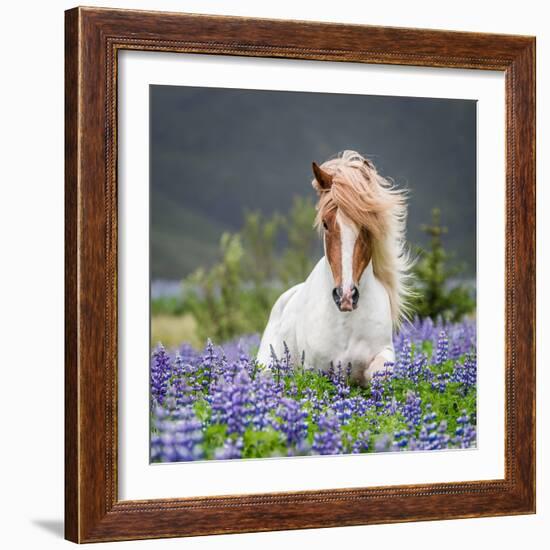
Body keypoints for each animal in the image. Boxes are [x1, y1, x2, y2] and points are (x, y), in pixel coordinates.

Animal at [256, 149, 412, 386]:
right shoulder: (316, 370)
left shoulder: (382, 354)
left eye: (366, 226)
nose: (345, 296)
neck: (345, 322)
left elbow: (379, 373)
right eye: (326, 223)